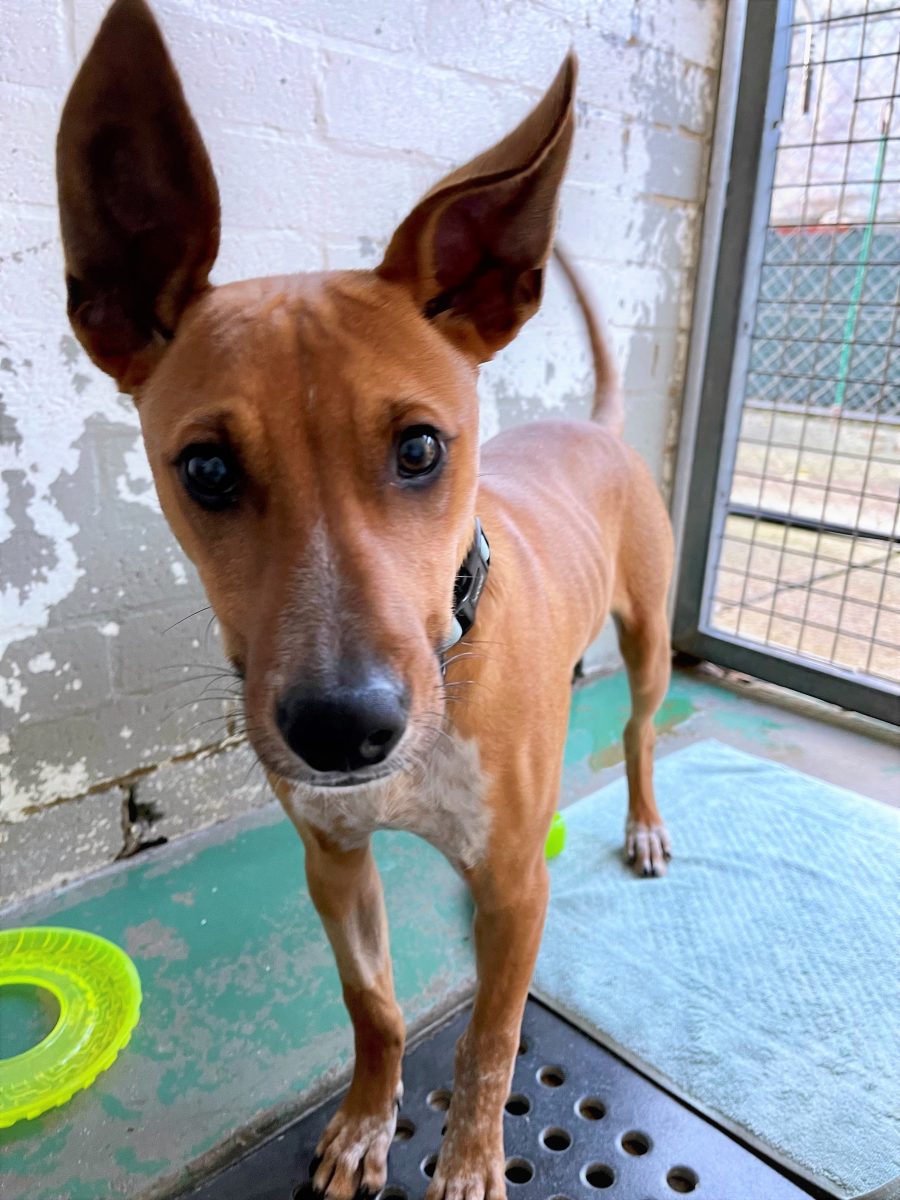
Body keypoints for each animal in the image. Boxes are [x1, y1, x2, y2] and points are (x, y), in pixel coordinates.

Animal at [56, 4, 672, 1195]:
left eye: (422, 447)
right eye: (205, 469)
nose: (345, 730)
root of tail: (596, 426)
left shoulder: (510, 879)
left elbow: (491, 1040)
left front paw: (471, 1162)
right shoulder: (333, 862)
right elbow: (373, 1006)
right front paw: (361, 1127)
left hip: (652, 641)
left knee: (636, 730)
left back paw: (646, 822)